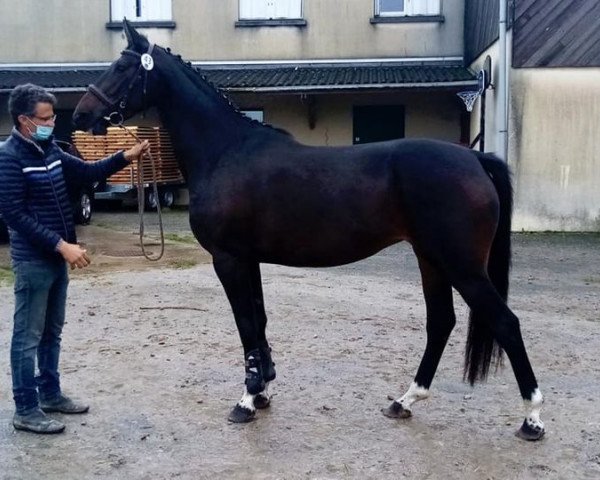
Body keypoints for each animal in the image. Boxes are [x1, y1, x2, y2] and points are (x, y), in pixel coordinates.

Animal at [72, 22, 548, 442]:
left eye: (122, 67)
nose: (81, 114)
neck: (226, 151)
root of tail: (474, 160)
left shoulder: (228, 259)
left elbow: (245, 324)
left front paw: (246, 401)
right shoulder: (249, 259)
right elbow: (259, 321)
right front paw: (262, 390)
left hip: (462, 266)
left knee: (505, 323)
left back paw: (532, 419)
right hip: (430, 259)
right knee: (441, 323)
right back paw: (404, 400)